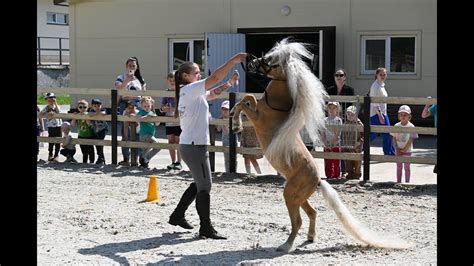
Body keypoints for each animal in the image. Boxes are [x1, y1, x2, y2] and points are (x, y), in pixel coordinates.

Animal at [231, 38, 412, 252]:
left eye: (271, 59)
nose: (250, 62)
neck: (275, 105)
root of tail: (318, 179)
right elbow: (245, 99)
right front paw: (233, 117)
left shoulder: (257, 117)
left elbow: (247, 99)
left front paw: (235, 124)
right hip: (298, 197)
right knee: (312, 213)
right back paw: (309, 238)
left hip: (290, 195)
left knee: (298, 221)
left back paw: (286, 245)